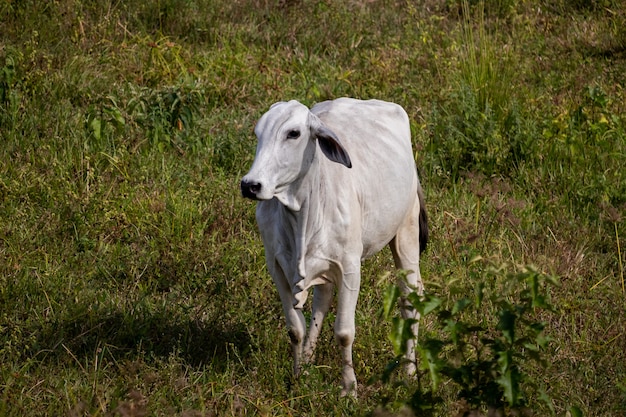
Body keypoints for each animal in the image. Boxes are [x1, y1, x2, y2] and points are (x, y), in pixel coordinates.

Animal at [239, 98, 424, 396]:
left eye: (294, 133)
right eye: (258, 133)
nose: (250, 185)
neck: (302, 214)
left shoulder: (350, 268)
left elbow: (344, 333)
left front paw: (349, 388)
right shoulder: (277, 267)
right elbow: (295, 328)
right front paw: (297, 376)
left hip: (406, 233)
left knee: (410, 296)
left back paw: (409, 370)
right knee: (322, 301)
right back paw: (308, 360)